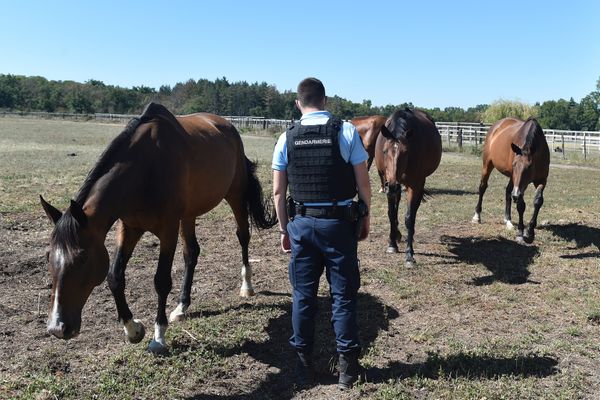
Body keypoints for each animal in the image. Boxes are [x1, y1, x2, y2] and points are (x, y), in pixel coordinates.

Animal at [39, 103, 276, 354]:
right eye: (48, 256)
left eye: (82, 258)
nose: (57, 327)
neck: (145, 169)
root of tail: (228, 126)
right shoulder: (129, 227)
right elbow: (115, 276)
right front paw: (133, 330)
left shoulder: (167, 230)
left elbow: (161, 281)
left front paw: (158, 337)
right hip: (189, 215)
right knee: (191, 253)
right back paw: (181, 307)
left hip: (236, 196)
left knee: (243, 236)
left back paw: (246, 286)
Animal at [378, 108, 442, 266]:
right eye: (384, 151)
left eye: (405, 152)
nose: (393, 185)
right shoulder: (388, 184)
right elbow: (391, 213)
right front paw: (392, 244)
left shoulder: (415, 185)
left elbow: (409, 218)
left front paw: (409, 254)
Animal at [472, 116, 552, 244]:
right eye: (514, 164)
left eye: (529, 166)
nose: (516, 195)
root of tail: (497, 125)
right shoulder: (519, 185)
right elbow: (521, 205)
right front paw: (520, 233)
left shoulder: (541, 180)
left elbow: (538, 201)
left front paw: (530, 232)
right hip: (487, 165)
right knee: (483, 187)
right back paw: (477, 216)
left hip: (512, 179)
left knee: (508, 192)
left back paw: (508, 220)